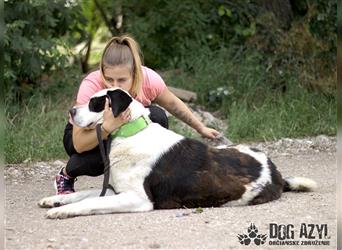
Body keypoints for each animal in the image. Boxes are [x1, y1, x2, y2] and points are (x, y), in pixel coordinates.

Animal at [38, 88, 316, 219]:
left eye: (95, 103)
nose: (71, 111)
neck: (131, 132)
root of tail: (276, 171)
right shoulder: (116, 189)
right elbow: (84, 194)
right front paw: (55, 200)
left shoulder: (138, 199)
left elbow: (90, 202)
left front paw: (62, 211)